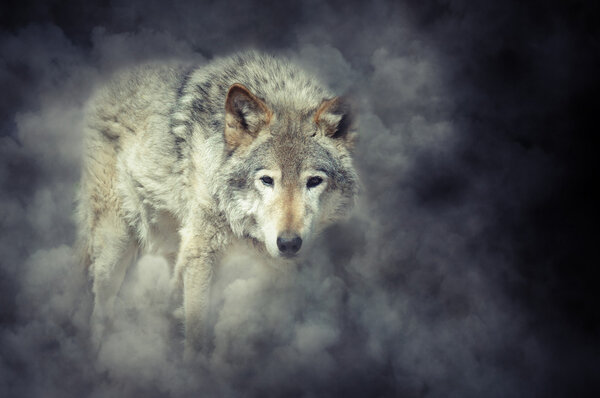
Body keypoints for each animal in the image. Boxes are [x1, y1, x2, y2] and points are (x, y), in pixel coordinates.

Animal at [78, 51, 360, 352]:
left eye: (314, 181)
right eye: (267, 180)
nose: (288, 243)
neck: (240, 225)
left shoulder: (270, 272)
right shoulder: (201, 254)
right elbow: (197, 334)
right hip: (115, 245)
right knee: (100, 312)